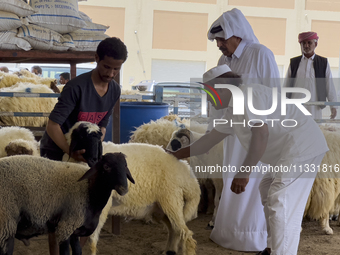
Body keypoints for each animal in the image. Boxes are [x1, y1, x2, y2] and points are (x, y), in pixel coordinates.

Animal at [0, 152, 134, 254]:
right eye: (106, 166)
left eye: (125, 165)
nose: (123, 189)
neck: (90, 190)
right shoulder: (65, 227)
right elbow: (65, 252)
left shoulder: (75, 230)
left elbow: (78, 251)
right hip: (6, 223)